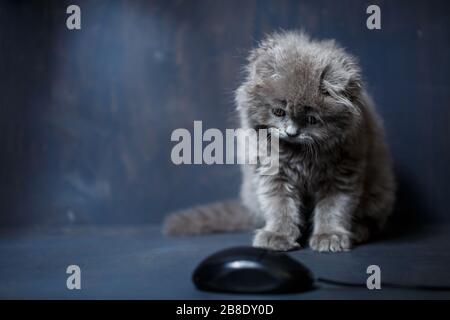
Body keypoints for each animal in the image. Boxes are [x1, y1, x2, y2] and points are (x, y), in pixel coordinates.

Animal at [164, 31, 394, 252]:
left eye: (311, 119)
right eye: (278, 112)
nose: (291, 132)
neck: (300, 154)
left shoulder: (343, 172)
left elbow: (334, 207)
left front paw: (329, 236)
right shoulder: (273, 172)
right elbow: (280, 207)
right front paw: (278, 236)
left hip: (380, 190)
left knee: (373, 220)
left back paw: (358, 231)